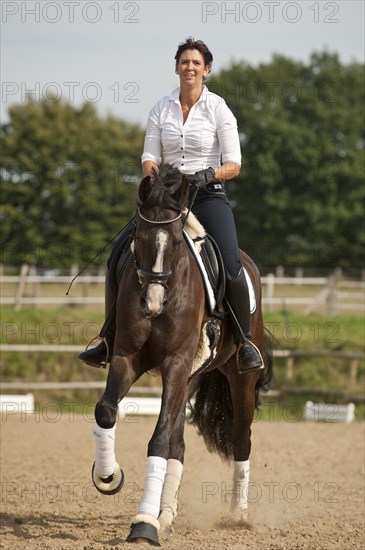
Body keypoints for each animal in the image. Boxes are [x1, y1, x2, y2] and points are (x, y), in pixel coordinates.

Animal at [91, 164, 272, 548]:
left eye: (176, 243)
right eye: (139, 240)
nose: (152, 305)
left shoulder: (175, 363)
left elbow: (158, 439)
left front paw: (144, 523)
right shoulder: (128, 357)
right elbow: (106, 411)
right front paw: (108, 476)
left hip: (240, 377)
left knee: (241, 438)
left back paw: (237, 516)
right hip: (189, 376)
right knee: (179, 445)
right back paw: (167, 516)